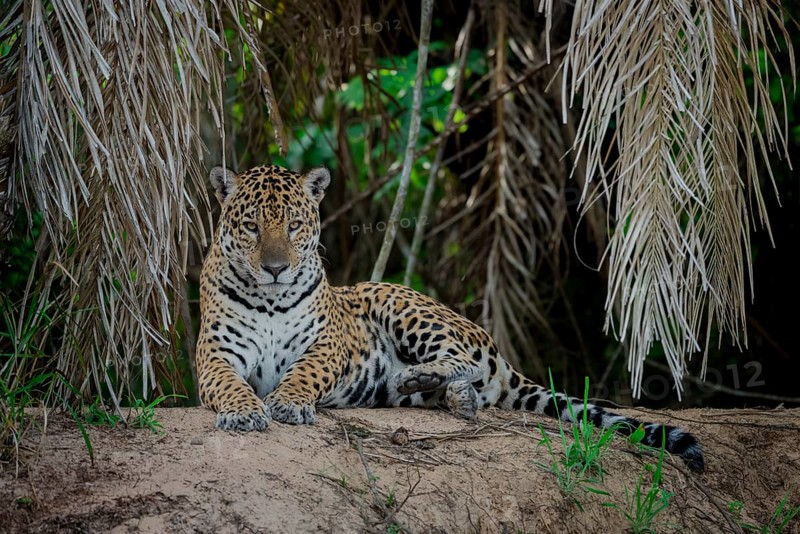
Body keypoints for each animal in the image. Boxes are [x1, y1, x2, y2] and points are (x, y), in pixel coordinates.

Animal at [196, 163, 704, 472]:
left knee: (465, 358)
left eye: (295, 225)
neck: (270, 301)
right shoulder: (214, 355)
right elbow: (228, 384)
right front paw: (244, 411)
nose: (275, 268)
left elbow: (303, 372)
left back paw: (423, 376)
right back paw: (451, 396)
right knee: (466, 386)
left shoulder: (326, 346)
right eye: (251, 226)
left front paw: (287, 401)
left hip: (400, 302)